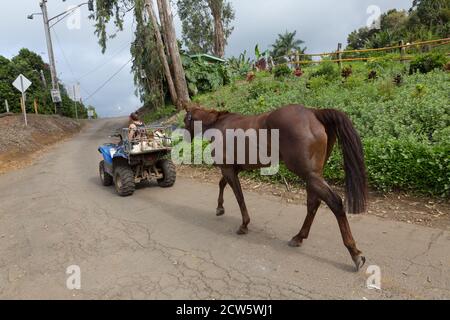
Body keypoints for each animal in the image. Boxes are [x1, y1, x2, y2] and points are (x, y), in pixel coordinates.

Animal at [185, 104, 368, 270]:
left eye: (186, 119)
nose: (184, 137)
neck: (219, 125)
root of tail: (314, 112)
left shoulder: (228, 169)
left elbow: (239, 196)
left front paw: (244, 225)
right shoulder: (232, 169)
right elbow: (222, 184)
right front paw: (220, 208)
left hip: (310, 175)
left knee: (334, 202)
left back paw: (355, 253)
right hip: (314, 175)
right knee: (313, 204)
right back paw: (299, 237)